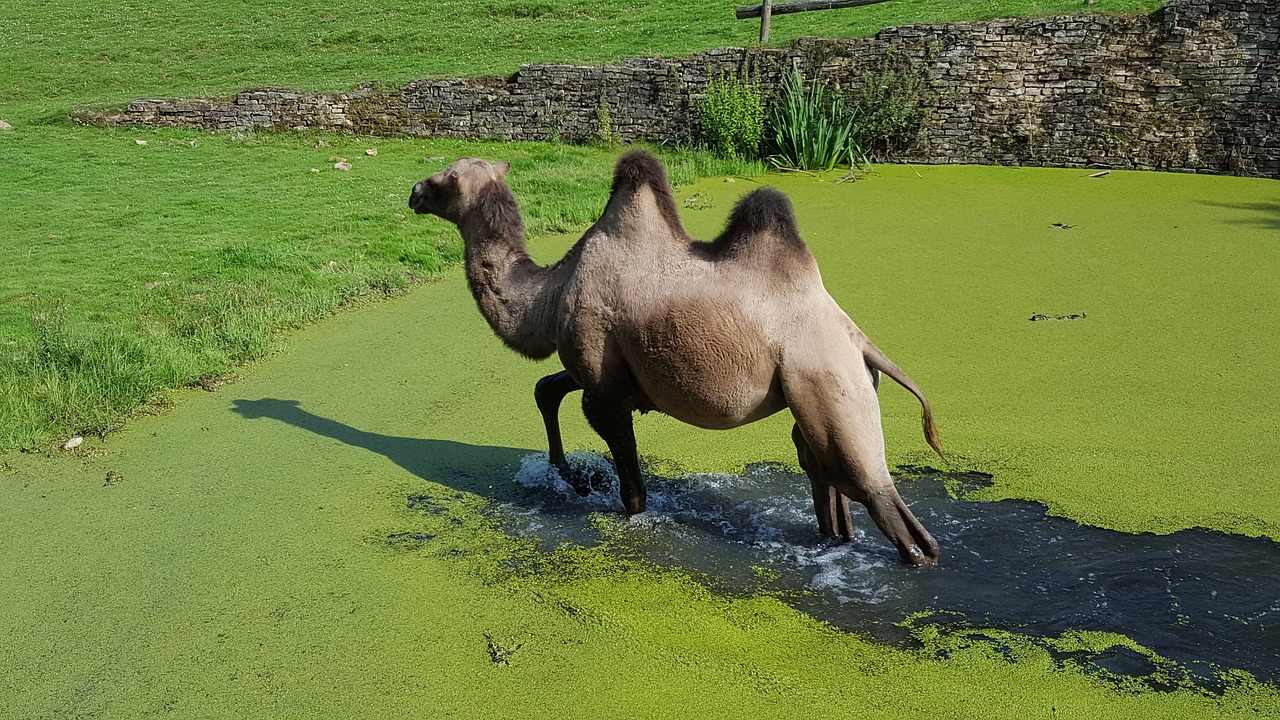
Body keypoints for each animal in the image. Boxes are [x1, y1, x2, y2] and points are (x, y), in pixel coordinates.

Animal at [414, 149, 947, 566]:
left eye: (444, 177)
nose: (414, 191)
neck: (551, 292)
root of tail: (860, 343)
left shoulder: (602, 385)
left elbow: (632, 489)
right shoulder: (603, 372)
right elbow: (546, 388)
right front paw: (568, 476)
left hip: (832, 386)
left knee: (885, 503)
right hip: (822, 402)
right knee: (826, 480)